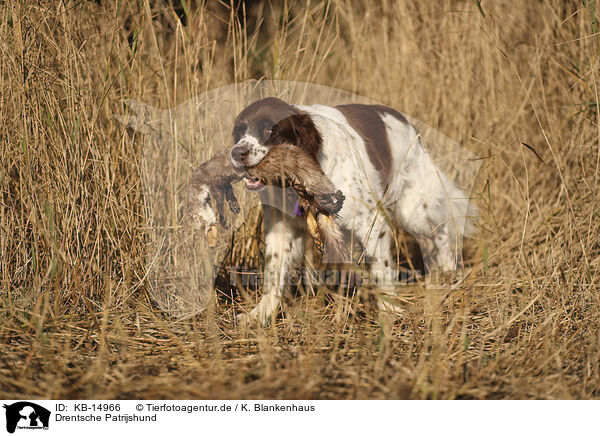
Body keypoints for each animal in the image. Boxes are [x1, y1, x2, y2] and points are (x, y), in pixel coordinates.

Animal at [224, 97, 474, 326]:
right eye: (240, 130)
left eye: (269, 129)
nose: (237, 153)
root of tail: (408, 123)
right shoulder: (281, 227)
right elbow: (274, 271)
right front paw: (260, 314)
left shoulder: (371, 223)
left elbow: (381, 270)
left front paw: (389, 310)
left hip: (413, 209)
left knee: (442, 231)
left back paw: (448, 274)